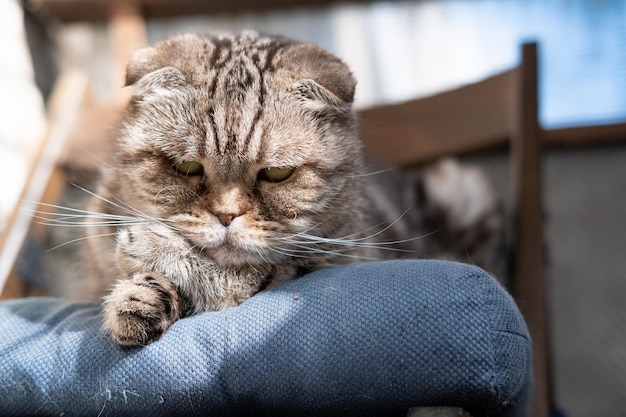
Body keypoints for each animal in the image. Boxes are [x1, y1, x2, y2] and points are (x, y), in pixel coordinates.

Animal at [63, 31, 502, 344]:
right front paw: (137, 301)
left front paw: (153, 252)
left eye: (276, 174)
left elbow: (249, 275)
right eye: (186, 167)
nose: (226, 215)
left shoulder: (339, 262)